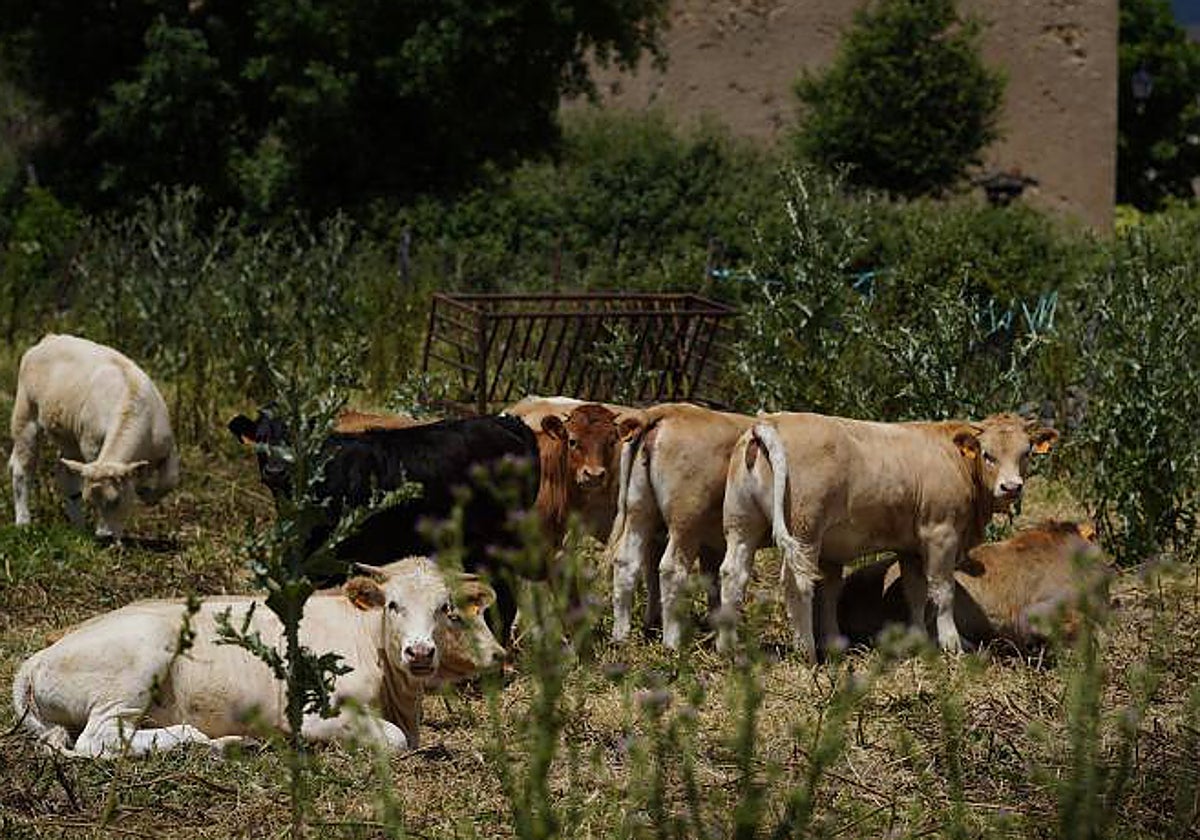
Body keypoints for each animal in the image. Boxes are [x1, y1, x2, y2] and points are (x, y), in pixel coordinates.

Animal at [9, 333, 180, 539]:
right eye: (91, 502)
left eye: (116, 500)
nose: (104, 536)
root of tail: (50, 339)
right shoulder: (91, 447)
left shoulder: (168, 448)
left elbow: (170, 480)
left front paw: (146, 493)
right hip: (25, 415)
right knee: (22, 470)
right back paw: (24, 523)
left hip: (69, 439)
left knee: (66, 477)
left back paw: (78, 527)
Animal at [12, 557, 503, 757]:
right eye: (393, 605)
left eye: (445, 608)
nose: (419, 651)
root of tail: (37, 657)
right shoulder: (317, 712)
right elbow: (396, 740)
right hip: (138, 664)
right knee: (98, 741)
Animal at [228, 409, 540, 643]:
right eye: (261, 439)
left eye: (296, 439)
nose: (275, 471)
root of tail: (506, 422)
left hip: (495, 541)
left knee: (504, 599)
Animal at [607, 403, 755, 647]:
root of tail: (669, 410)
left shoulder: (714, 543)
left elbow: (712, 581)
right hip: (686, 521)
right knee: (672, 569)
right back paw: (672, 642)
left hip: (640, 512)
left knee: (627, 562)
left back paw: (621, 636)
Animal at [719, 412, 1058, 661]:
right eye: (988, 455)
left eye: (1026, 453)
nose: (1011, 487)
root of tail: (770, 420)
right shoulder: (941, 533)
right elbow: (943, 590)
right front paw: (952, 644)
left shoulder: (911, 547)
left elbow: (915, 592)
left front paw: (921, 640)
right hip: (804, 530)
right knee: (798, 583)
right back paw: (808, 652)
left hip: (741, 524)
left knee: (733, 574)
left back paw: (727, 647)